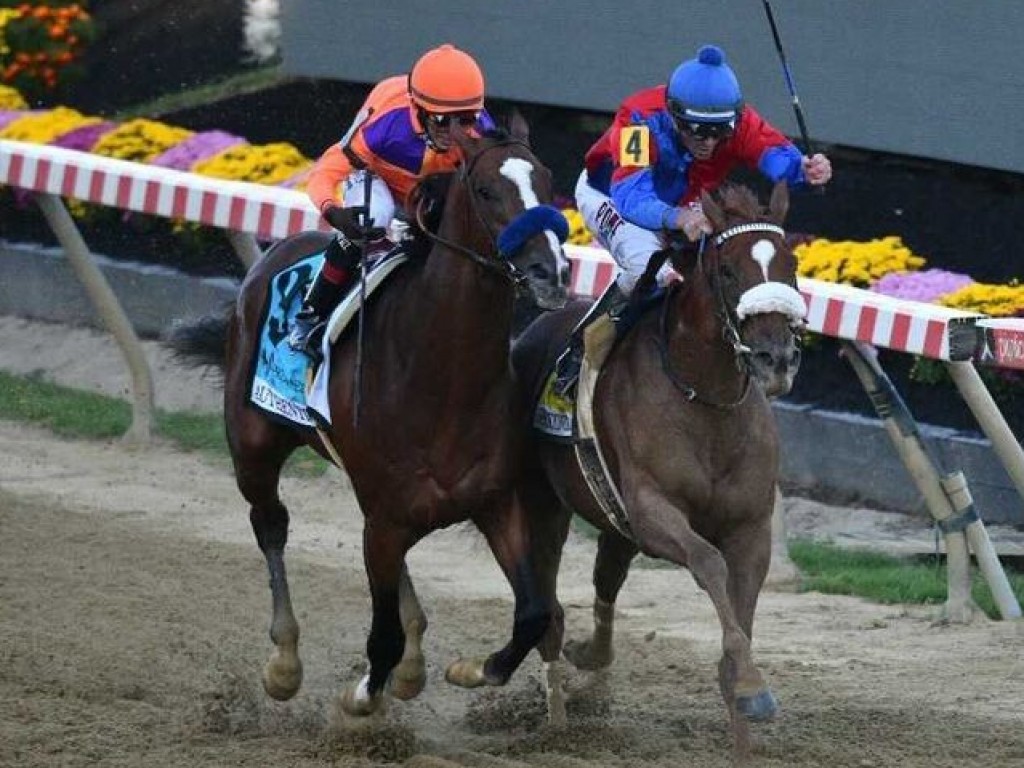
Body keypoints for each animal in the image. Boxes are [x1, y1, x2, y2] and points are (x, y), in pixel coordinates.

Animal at [167, 117, 569, 720]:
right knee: (270, 524)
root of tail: (271, 256)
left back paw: (412, 662)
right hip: (253, 446)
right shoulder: (384, 520)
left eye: (546, 180)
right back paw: (285, 662)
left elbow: (533, 613)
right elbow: (382, 636)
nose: (552, 272)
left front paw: (468, 669)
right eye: (485, 191)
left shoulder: (494, 501)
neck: (443, 380)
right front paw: (361, 695)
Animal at [512, 183, 806, 753]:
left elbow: (741, 607)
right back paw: (556, 721)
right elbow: (710, 564)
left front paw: (744, 699)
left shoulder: (750, 526)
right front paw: (750, 685)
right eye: (729, 270)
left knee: (606, 580)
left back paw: (591, 658)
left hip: (611, 518)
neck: (706, 402)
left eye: (791, 264)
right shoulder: (652, 511)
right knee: (546, 608)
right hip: (546, 506)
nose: (776, 359)